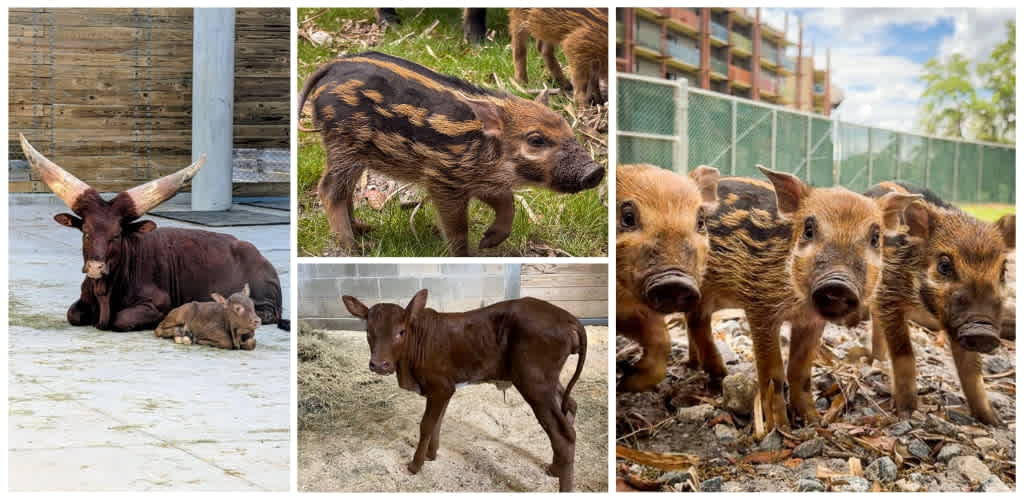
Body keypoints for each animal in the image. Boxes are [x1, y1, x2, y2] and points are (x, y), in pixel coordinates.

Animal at [18, 134, 289, 332]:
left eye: (117, 235)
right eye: (85, 232)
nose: (95, 267)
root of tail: (257, 254)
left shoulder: (157, 302)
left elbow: (121, 319)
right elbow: (72, 314)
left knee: (269, 313)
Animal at [297, 51, 605, 256]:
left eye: (566, 127)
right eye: (536, 140)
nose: (596, 171)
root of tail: (330, 68)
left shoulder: (480, 180)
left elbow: (507, 203)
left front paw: (488, 242)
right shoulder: (443, 179)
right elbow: (457, 228)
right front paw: (466, 254)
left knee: (345, 191)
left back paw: (364, 228)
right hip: (343, 144)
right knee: (329, 190)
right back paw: (354, 247)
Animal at [342, 290, 586, 492]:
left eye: (401, 332)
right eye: (368, 332)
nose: (379, 365)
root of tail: (568, 317)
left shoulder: (440, 386)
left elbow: (426, 424)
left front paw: (415, 465)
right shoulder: (445, 389)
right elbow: (438, 422)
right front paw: (431, 455)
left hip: (534, 383)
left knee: (563, 434)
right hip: (547, 382)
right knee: (570, 407)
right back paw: (554, 469)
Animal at [684, 167, 920, 430]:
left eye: (876, 237)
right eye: (808, 229)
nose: (838, 283)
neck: (798, 304)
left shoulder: (812, 322)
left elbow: (800, 371)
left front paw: (814, 422)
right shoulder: (760, 307)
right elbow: (773, 373)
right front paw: (779, 428)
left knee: (695, 319)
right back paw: (720, 374)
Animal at [863, 181, 1014, 425]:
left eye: (1003, 271)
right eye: (944, 266)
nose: (982, 329)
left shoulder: (957, 325)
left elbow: (972, 369)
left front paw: (994, 421)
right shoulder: (889, 296)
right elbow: (904, 354)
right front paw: (907, 413)